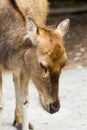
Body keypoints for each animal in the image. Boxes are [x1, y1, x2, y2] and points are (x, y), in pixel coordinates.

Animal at [0, 0, 69, 130]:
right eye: (43, 65)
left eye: (64, 64)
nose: (54, 107)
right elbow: (1, 103)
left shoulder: (24, 64)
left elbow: (25, 100)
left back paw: (18, 121)